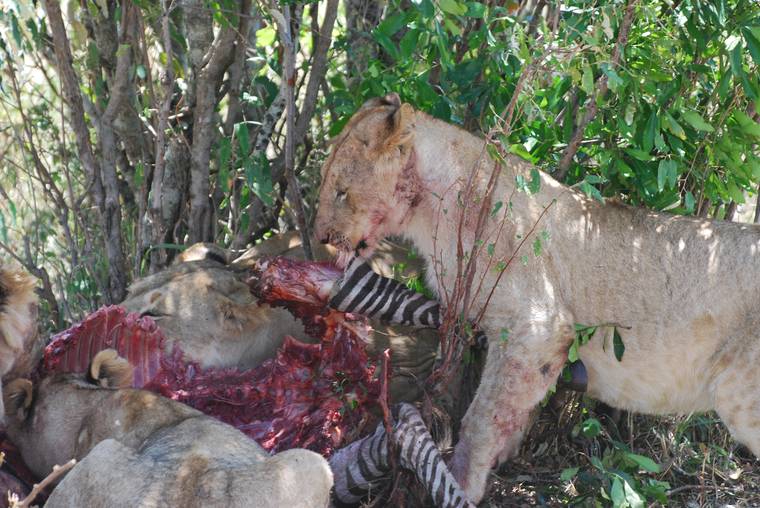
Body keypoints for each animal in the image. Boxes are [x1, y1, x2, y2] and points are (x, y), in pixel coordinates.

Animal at [314, 93, 760, 503]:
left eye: (341, 192)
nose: (321, 238)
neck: (434, 205)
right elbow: (512, 408)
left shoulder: (537, 329)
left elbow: (481, 417)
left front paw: (461, 482)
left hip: (742, 399)